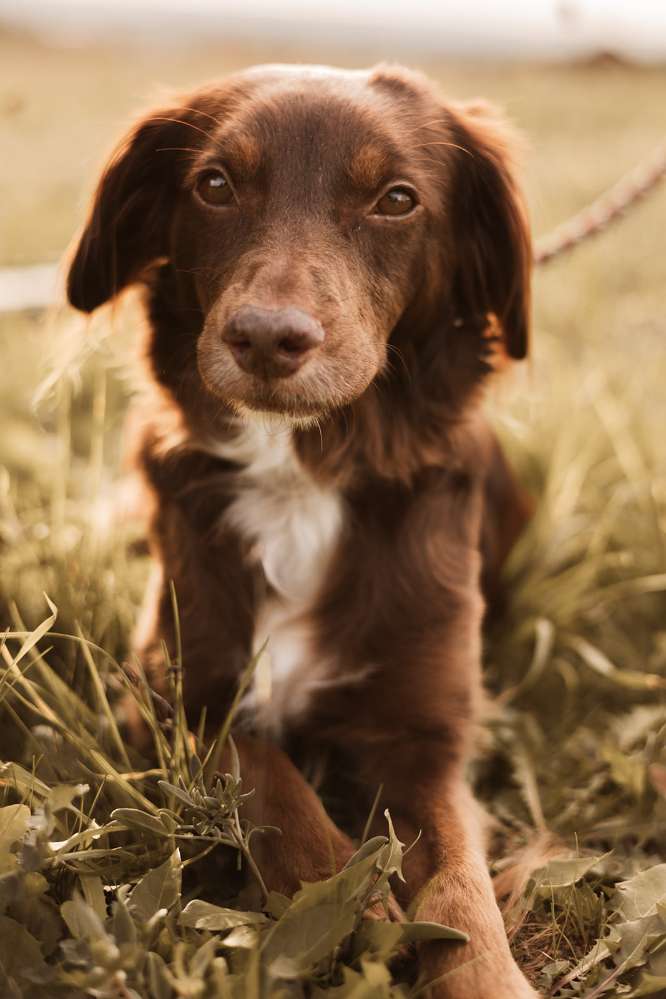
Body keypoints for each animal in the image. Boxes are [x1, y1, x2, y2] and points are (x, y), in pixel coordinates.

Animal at [66, 64, 536, 999]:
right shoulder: (162, 686)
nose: (266, 338)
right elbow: (256, 765)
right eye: (214, 185)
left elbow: (461, 887)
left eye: (397, 199)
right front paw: (343, 895)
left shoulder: (429, 735)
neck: (301, 475)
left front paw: (485, 971)